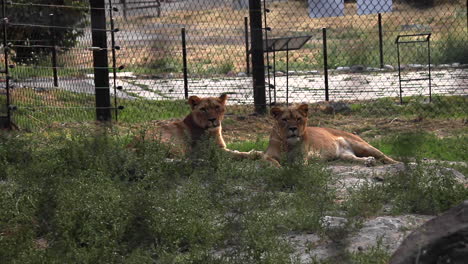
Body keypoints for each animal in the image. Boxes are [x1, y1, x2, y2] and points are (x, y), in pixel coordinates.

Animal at [264, 102, 398, 166]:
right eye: (285, 119)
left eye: (298, 119)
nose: (293, 128)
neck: (287, 144)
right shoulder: (267, 155)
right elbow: (272, 161)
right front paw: (278, 167)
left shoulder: (302, 157)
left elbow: (297, 165)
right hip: (344, 155)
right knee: (353, 158)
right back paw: (368, 161)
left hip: (362, 145)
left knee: (384, 157)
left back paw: (398, 164)